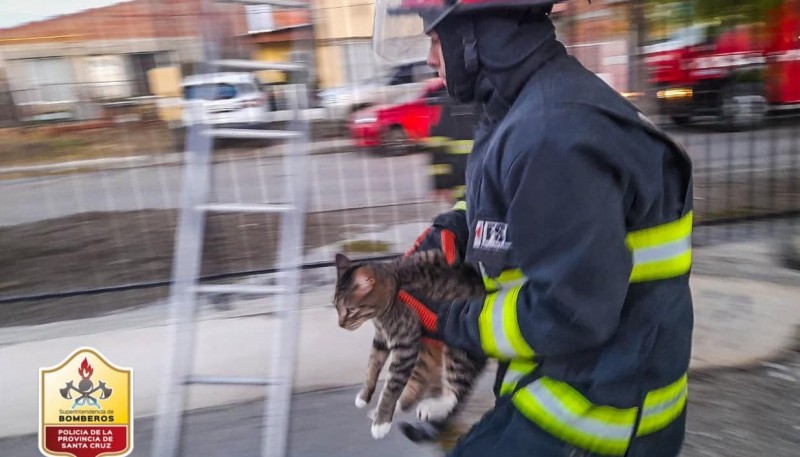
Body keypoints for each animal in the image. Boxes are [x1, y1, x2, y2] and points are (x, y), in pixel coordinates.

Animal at [332, 251, 484, 440]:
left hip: (458, 350)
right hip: (426, 350)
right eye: (336, 307)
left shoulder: (406, 346)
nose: (340, 324)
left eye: (350, 310)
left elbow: (391, 387)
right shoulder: (381, 340)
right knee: (416, 386)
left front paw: (381, 423)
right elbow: (371, 367)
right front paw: (364, 396)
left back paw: (431, 407)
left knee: (455, 391)